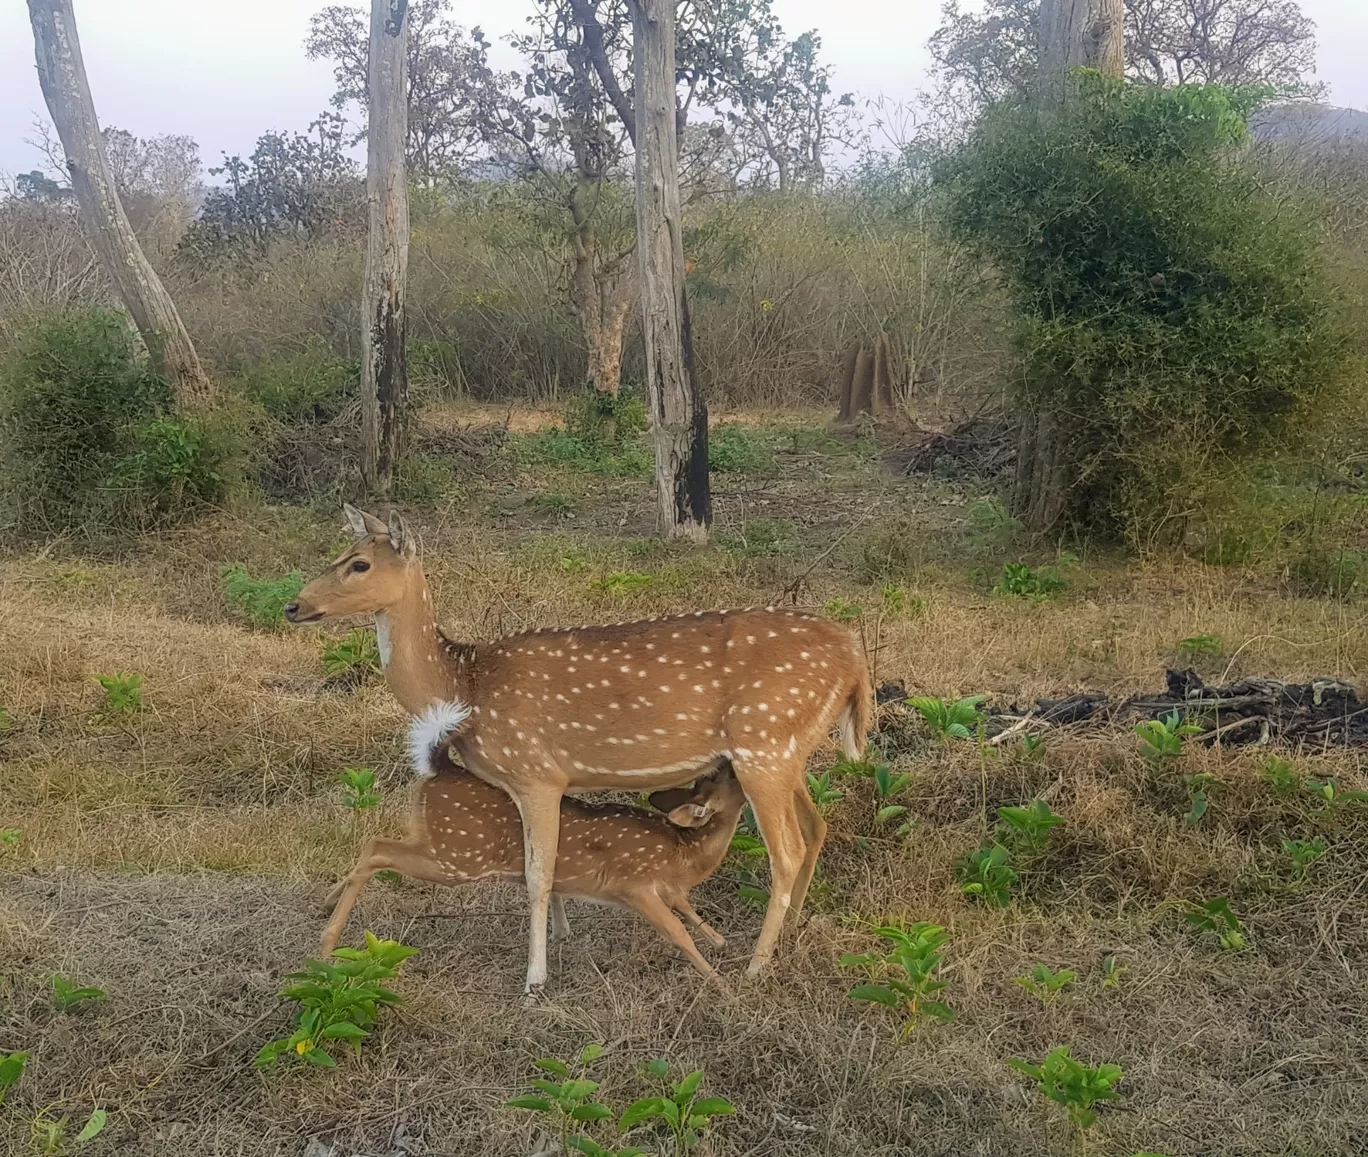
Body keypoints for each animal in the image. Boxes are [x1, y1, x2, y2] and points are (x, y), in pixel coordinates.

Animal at [318, 743, 744, 979]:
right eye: (728, 779)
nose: (729, 760)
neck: (684, 855)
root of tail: (441, 768)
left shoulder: (666, 888)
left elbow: (689, 911)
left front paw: (721, 943)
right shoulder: (633, 883)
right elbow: (677, 931)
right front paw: (719, 983)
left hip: (438, 841)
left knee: (376, 843)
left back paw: (326, 907)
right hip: (460, 856)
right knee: (378, 849)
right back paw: (328, 942)